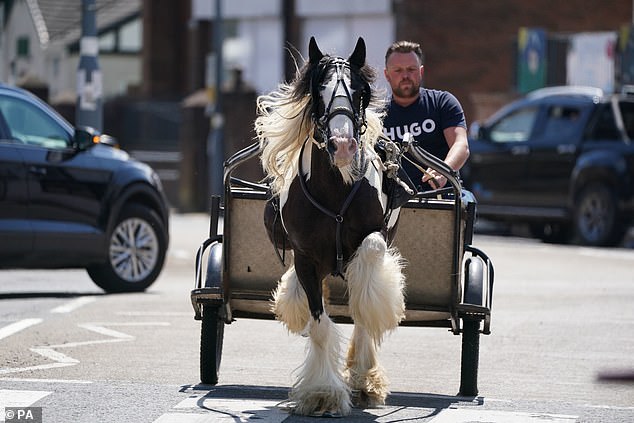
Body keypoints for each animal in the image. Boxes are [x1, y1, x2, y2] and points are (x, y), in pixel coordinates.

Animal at [253, 37, 404, 418]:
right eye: (318, 90)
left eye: (360, 91)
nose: (344, 145)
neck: (335, 190)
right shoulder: (306, 258)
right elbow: (319, 324)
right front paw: (322, 394)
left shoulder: (372, 239)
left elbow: (367, 289)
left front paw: (361, 379)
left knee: (362, 306)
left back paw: (365, 379)